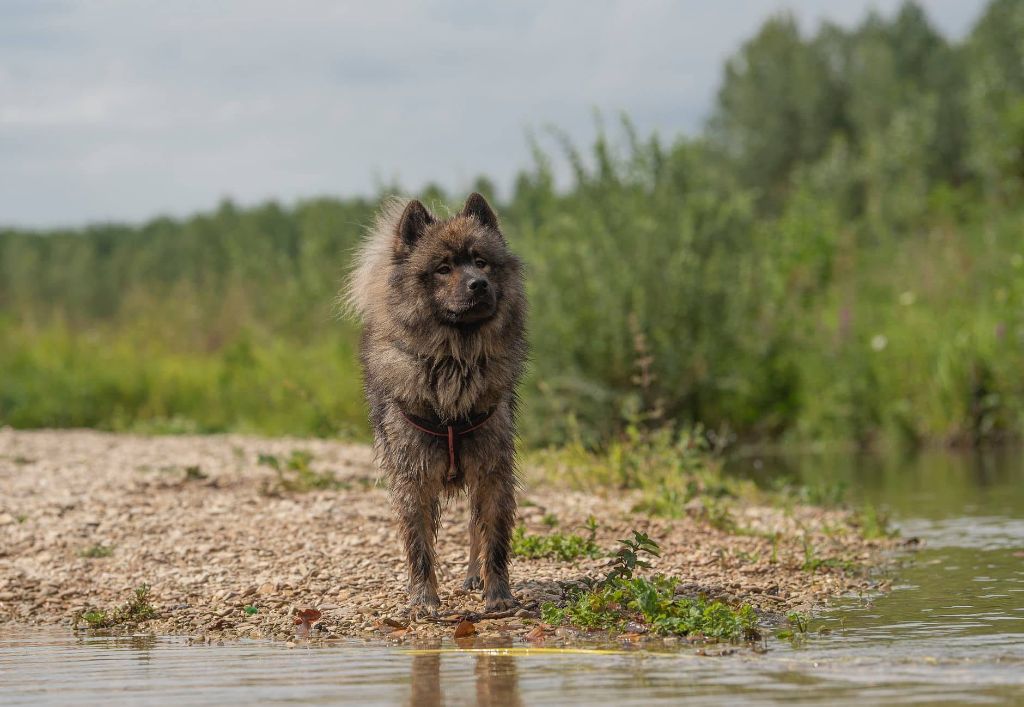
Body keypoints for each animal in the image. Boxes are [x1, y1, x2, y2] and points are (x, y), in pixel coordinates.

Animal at [350, 192, 528, 610]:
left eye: (481, 262)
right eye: (444, 268)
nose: (479, 285)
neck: (453, 362)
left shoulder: (492, 469)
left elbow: (494, 540)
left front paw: (498, 594)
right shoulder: (411, 476)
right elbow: (419, 546)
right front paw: (423, 598)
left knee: (475, 529)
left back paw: (474, 577)